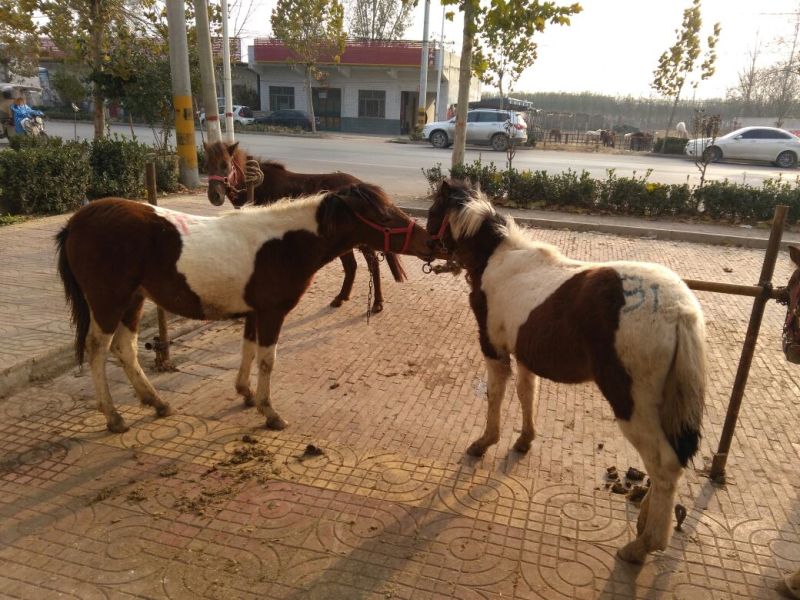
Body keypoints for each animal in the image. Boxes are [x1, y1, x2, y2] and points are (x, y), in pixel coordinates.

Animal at [56, 184, 439, 434]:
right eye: (385, 217)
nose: (431, 242)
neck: (285, 244)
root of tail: (76, 221)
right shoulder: (271, 313)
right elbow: (267, 360)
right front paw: (269, 411)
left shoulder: (254, 313)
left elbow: (248, 351)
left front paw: (245, 393)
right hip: (108, 301)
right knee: (97, 350)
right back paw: (112, 416)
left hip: (133, 300)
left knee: (126, 349)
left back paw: (156, 402)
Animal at [426, 178, 707, 563]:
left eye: (433, 212)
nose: (426, 248)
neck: (498, 258)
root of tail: (679, 310)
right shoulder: (525, 354)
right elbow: (526, 393)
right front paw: (524, 440)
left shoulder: (494, 349)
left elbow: (495, 395)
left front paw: (484, 443)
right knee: (668, 463)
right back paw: (644, 523)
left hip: (631, 404)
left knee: (663, 465)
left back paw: (641, 547)